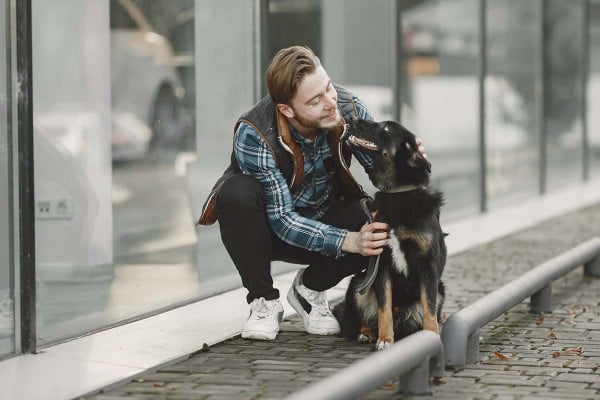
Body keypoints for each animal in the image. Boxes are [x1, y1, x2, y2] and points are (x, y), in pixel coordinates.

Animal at [336, 117, 448, 348]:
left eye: (385, 127)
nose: (350, 118)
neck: (398, 193)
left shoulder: (427, 265)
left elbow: (429, 306)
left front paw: (432, 335)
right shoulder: (382, 263)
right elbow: (383, 309)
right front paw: (385, 340)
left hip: (441, 288)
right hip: (358, 283)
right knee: (364, 317)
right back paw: (366, 332)